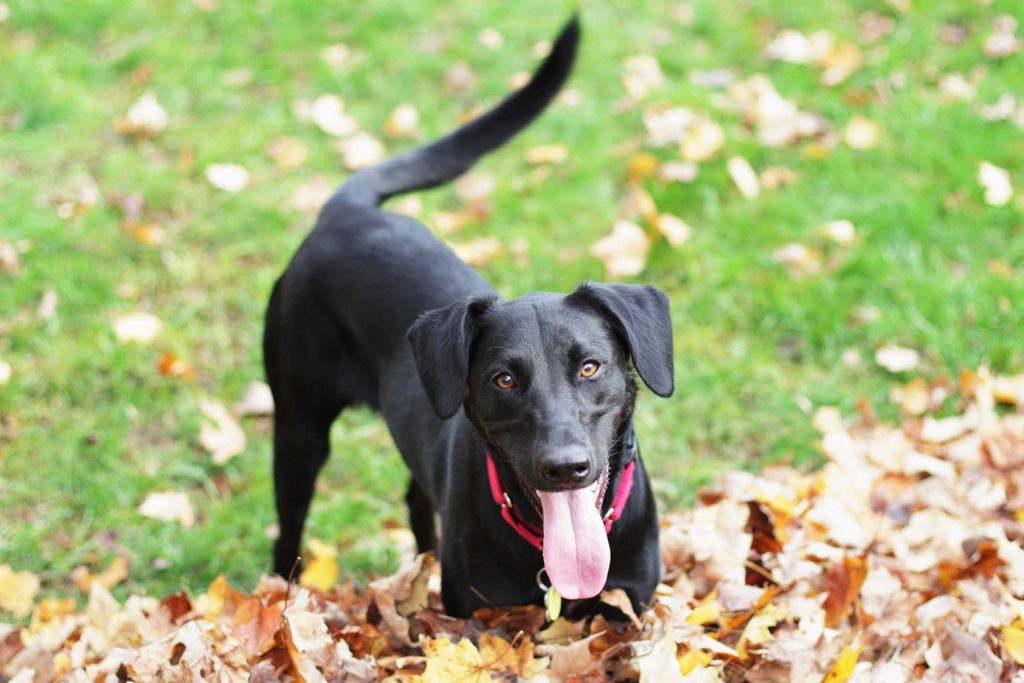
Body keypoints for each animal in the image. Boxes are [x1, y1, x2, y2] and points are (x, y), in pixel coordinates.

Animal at [268, 17, 675, 618]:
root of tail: (347, 210)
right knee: (287, 528)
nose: (565, 468)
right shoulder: (473, 616)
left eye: (590, 368)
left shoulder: (635, 608)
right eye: (503, 379)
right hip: (299, 429)